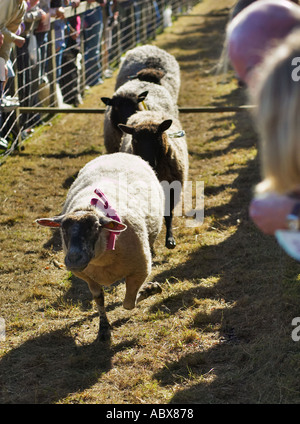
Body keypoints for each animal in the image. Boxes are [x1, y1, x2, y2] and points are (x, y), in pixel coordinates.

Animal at [37, 152, 166, 342]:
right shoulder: (88, 277)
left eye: (96, 227)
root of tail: (118, 153)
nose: (74, 259)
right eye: (63, 229)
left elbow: (128, 303)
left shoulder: (139, 271)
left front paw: (149, 290)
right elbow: (99, 300)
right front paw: (104, 329)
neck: (101, 260)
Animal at [119, 111, 188, 250]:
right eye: (135, 140)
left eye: (157, 138)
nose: (148, 162)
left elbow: (168, 214)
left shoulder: (172, 190)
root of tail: (146, 112)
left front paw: (170, 240)